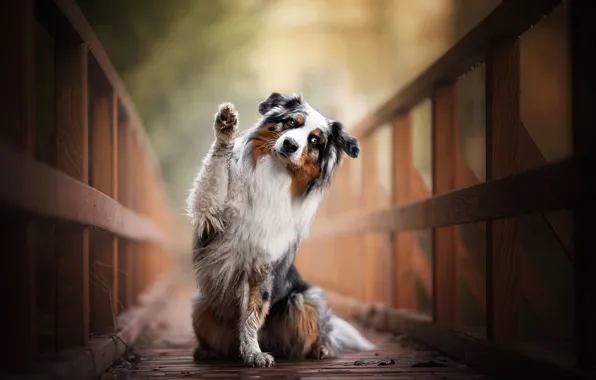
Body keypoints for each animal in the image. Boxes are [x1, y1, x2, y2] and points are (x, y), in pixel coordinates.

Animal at [186, 93, 372, 368]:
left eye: (314, 140)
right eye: (291, 122)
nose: (290, 145)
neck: (273, 173)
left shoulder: (263, 265)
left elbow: (252, 314)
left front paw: (254, 353)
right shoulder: (209, 218)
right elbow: (213, 175)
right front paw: (226, 128)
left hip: (306, 298)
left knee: (316, 332)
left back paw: (320, 349)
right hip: (202, 304)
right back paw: (208, 351)